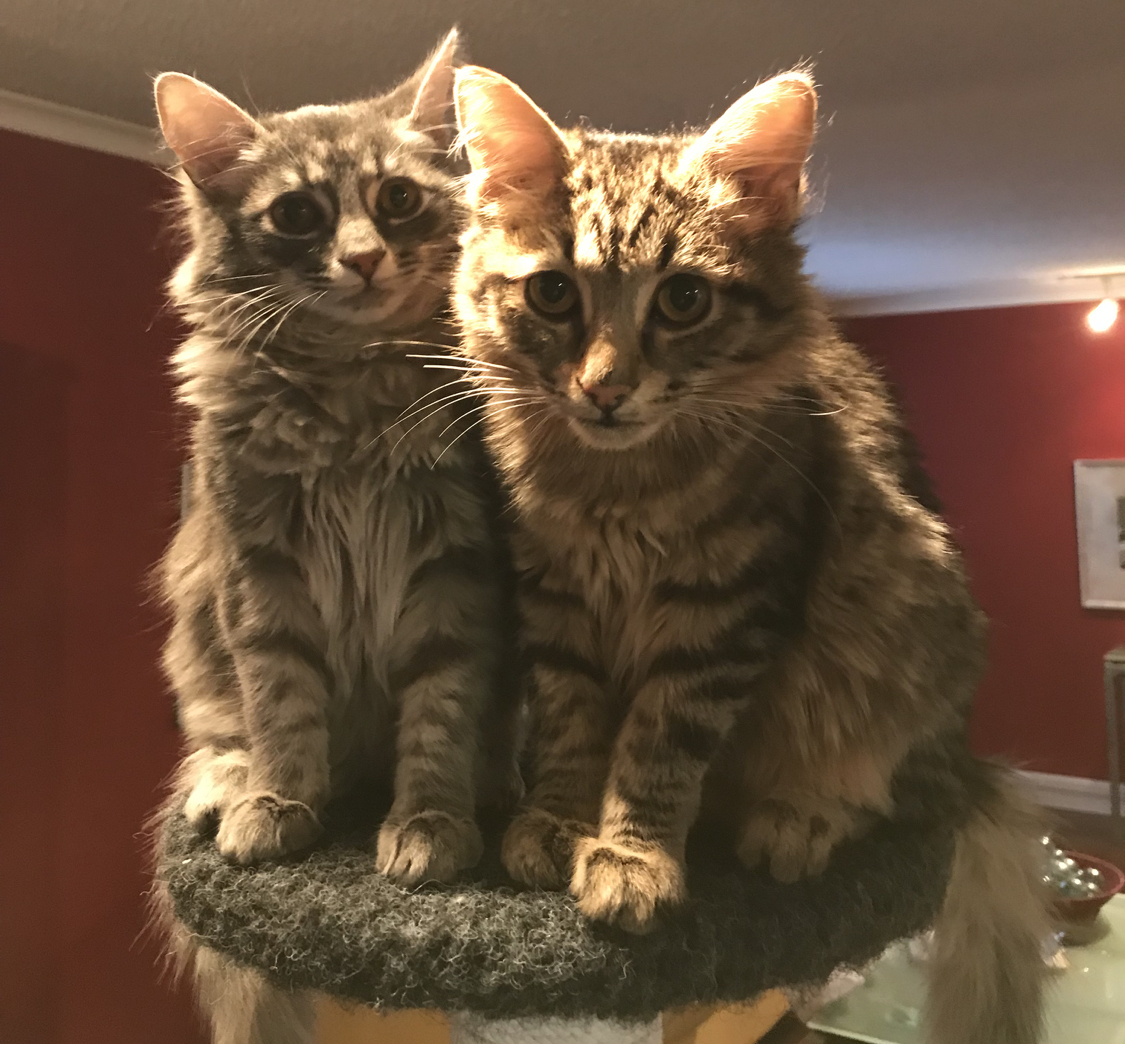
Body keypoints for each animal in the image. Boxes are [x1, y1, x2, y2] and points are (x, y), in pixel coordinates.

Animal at [150, 31, 519, 1044]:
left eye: (395, 200)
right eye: (299, 214)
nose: (361, 260)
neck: (353, 394)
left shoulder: (456, 565)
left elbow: (439, 713)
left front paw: (430, 824)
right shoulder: (259, 570)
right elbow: (280, 703)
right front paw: (279, 802)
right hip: (196, 644)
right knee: (216, 735)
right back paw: (227, 789)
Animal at [452, 65, 1048, 1044]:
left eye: (682, 300)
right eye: (552, 296)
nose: (605, 389)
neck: (611, 489)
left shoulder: (721, 610)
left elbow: (656, 747)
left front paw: (632, 862)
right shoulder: (555, 601)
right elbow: (573, 729)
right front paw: (557, 822)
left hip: (902, 626)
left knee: (887, 794)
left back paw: (794, 823)